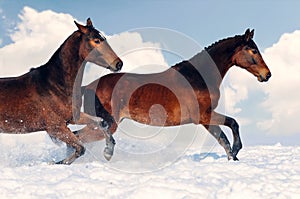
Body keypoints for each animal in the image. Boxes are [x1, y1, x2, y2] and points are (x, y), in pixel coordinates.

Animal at [0, 18, 123, 165]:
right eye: (96, 40)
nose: (118, 64)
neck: (55, 85)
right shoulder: (56, 128)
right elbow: (80, 149)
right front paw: (54, 163)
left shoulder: (73, 118)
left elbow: (101, 122)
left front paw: (108, 151)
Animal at [78, 28, 270, 161]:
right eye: (253, 50)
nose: (267, 74)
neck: (198, 77)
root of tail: (88, 86)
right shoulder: (203, 116)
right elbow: (229, 128)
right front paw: (236, 152)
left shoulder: (206, 118)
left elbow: (225, 134)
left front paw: (234, 156)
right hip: (108, 123)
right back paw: (105, 153)